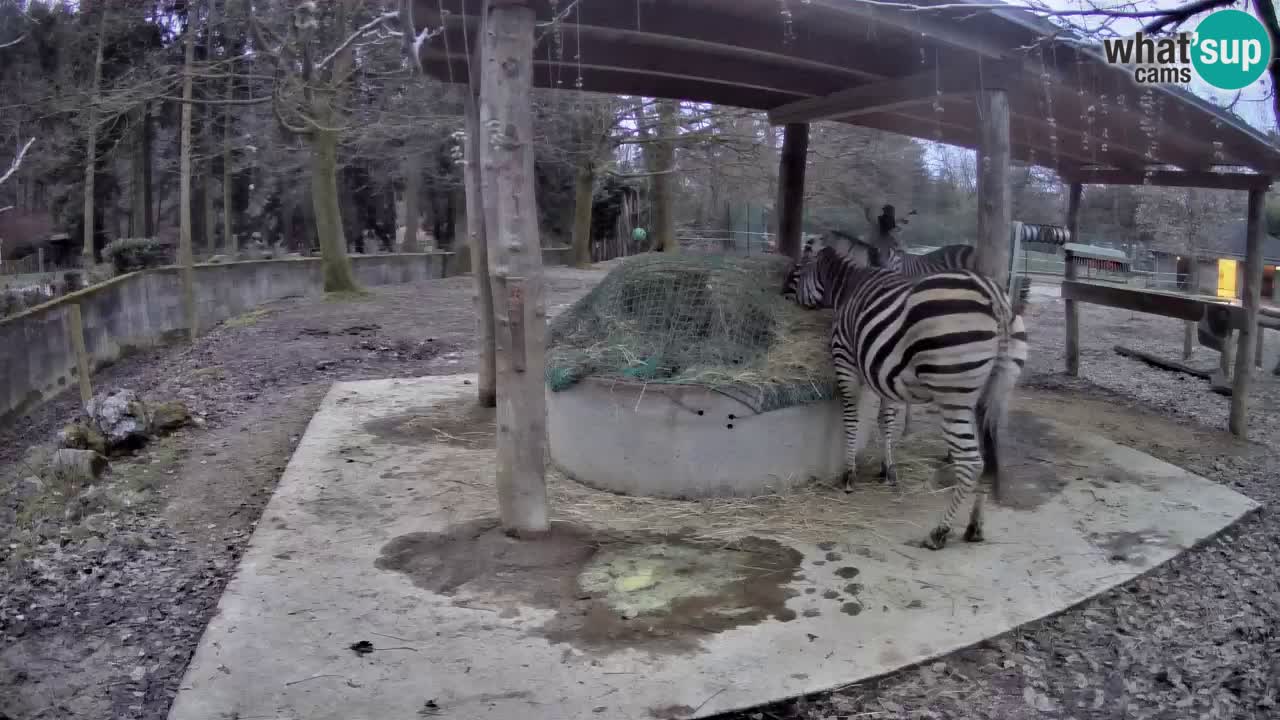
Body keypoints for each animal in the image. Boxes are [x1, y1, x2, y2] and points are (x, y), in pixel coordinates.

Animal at [778, 240, 1029, 548]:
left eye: (796, 272)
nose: (780, 297)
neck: (849, 287)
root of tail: (993, 295)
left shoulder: (845, 358)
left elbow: (851, 418)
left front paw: (849, 475)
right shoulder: (884, 372)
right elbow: (886, 420)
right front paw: (887, 471)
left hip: (953, 396)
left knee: (971, 463)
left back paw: (939, 532)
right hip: (994, 394)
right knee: (989, 461)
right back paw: (974, 527)